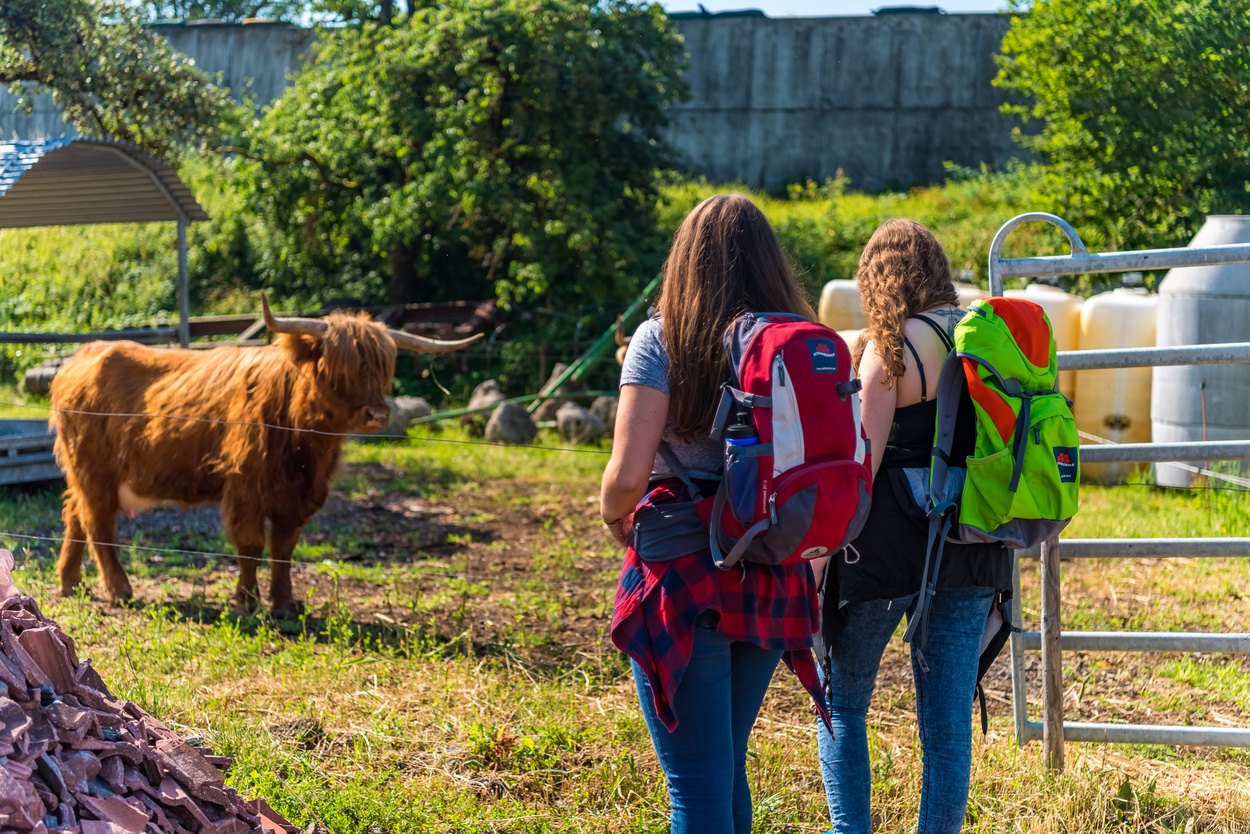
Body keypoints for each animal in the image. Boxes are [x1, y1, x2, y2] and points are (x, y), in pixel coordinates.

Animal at [50, 294, 481, 615]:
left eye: (383, 369)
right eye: (338, 369)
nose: (378, 414)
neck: (307, 445)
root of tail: (82, 355)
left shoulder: (296, 497)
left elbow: (284, 550)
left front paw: (285, 604)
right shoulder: (246, 489)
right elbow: (252, 547)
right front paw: (246, 603)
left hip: (86, 473)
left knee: (75, 513)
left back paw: (70, 581)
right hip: (94, 470)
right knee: (98, 523)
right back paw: (119, 589)